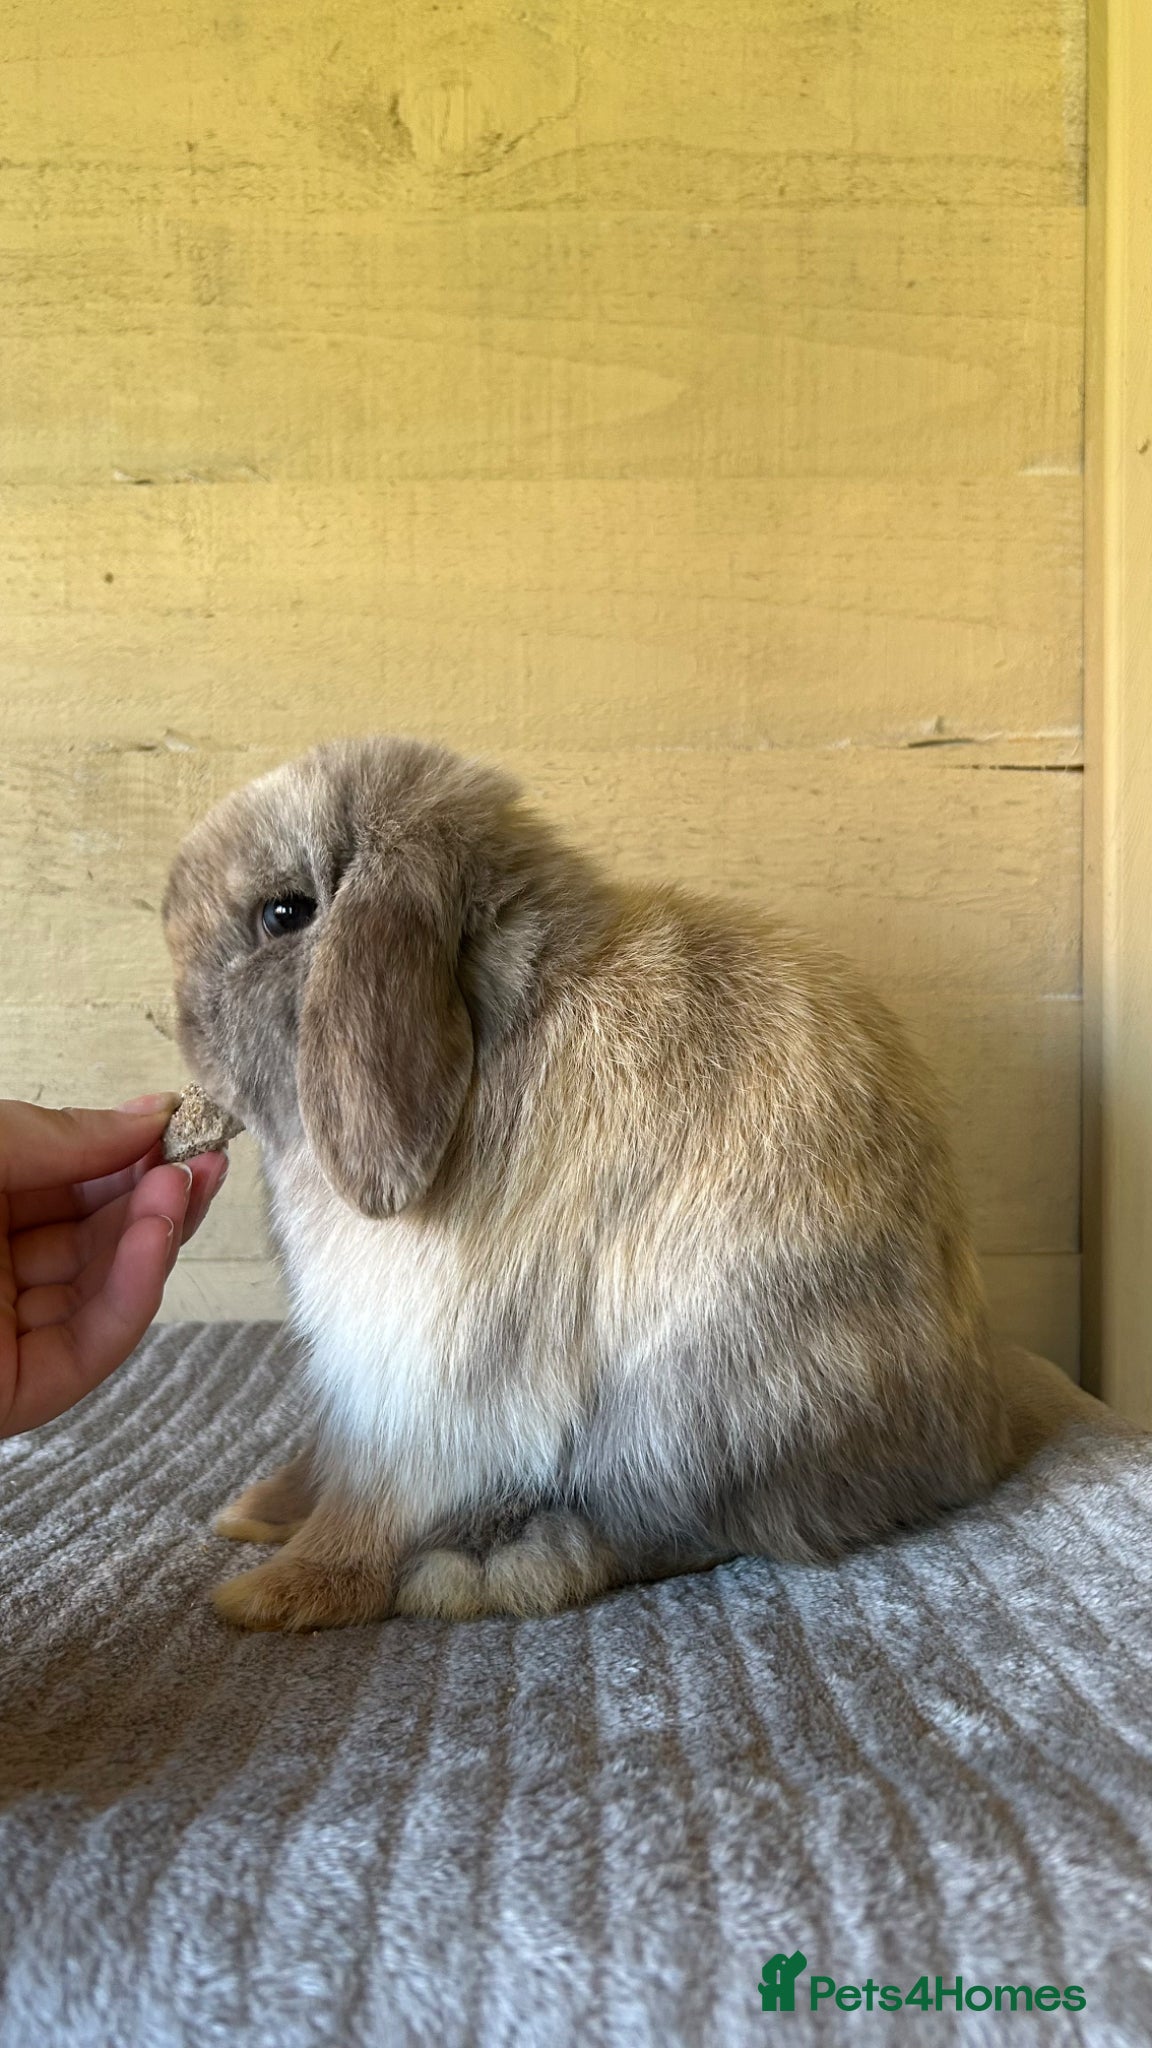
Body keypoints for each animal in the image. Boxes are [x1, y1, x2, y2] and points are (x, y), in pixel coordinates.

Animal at [162, 734, 1011, 1632]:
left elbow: (368, 1507)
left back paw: (492, 1564)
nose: (182, 1023)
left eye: (284, 915)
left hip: (701, 1401)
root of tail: (970, 1444)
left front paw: (274, 1596)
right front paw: (261, 1513)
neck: (496, 1023)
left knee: (680, 1530)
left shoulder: (422, 1380)